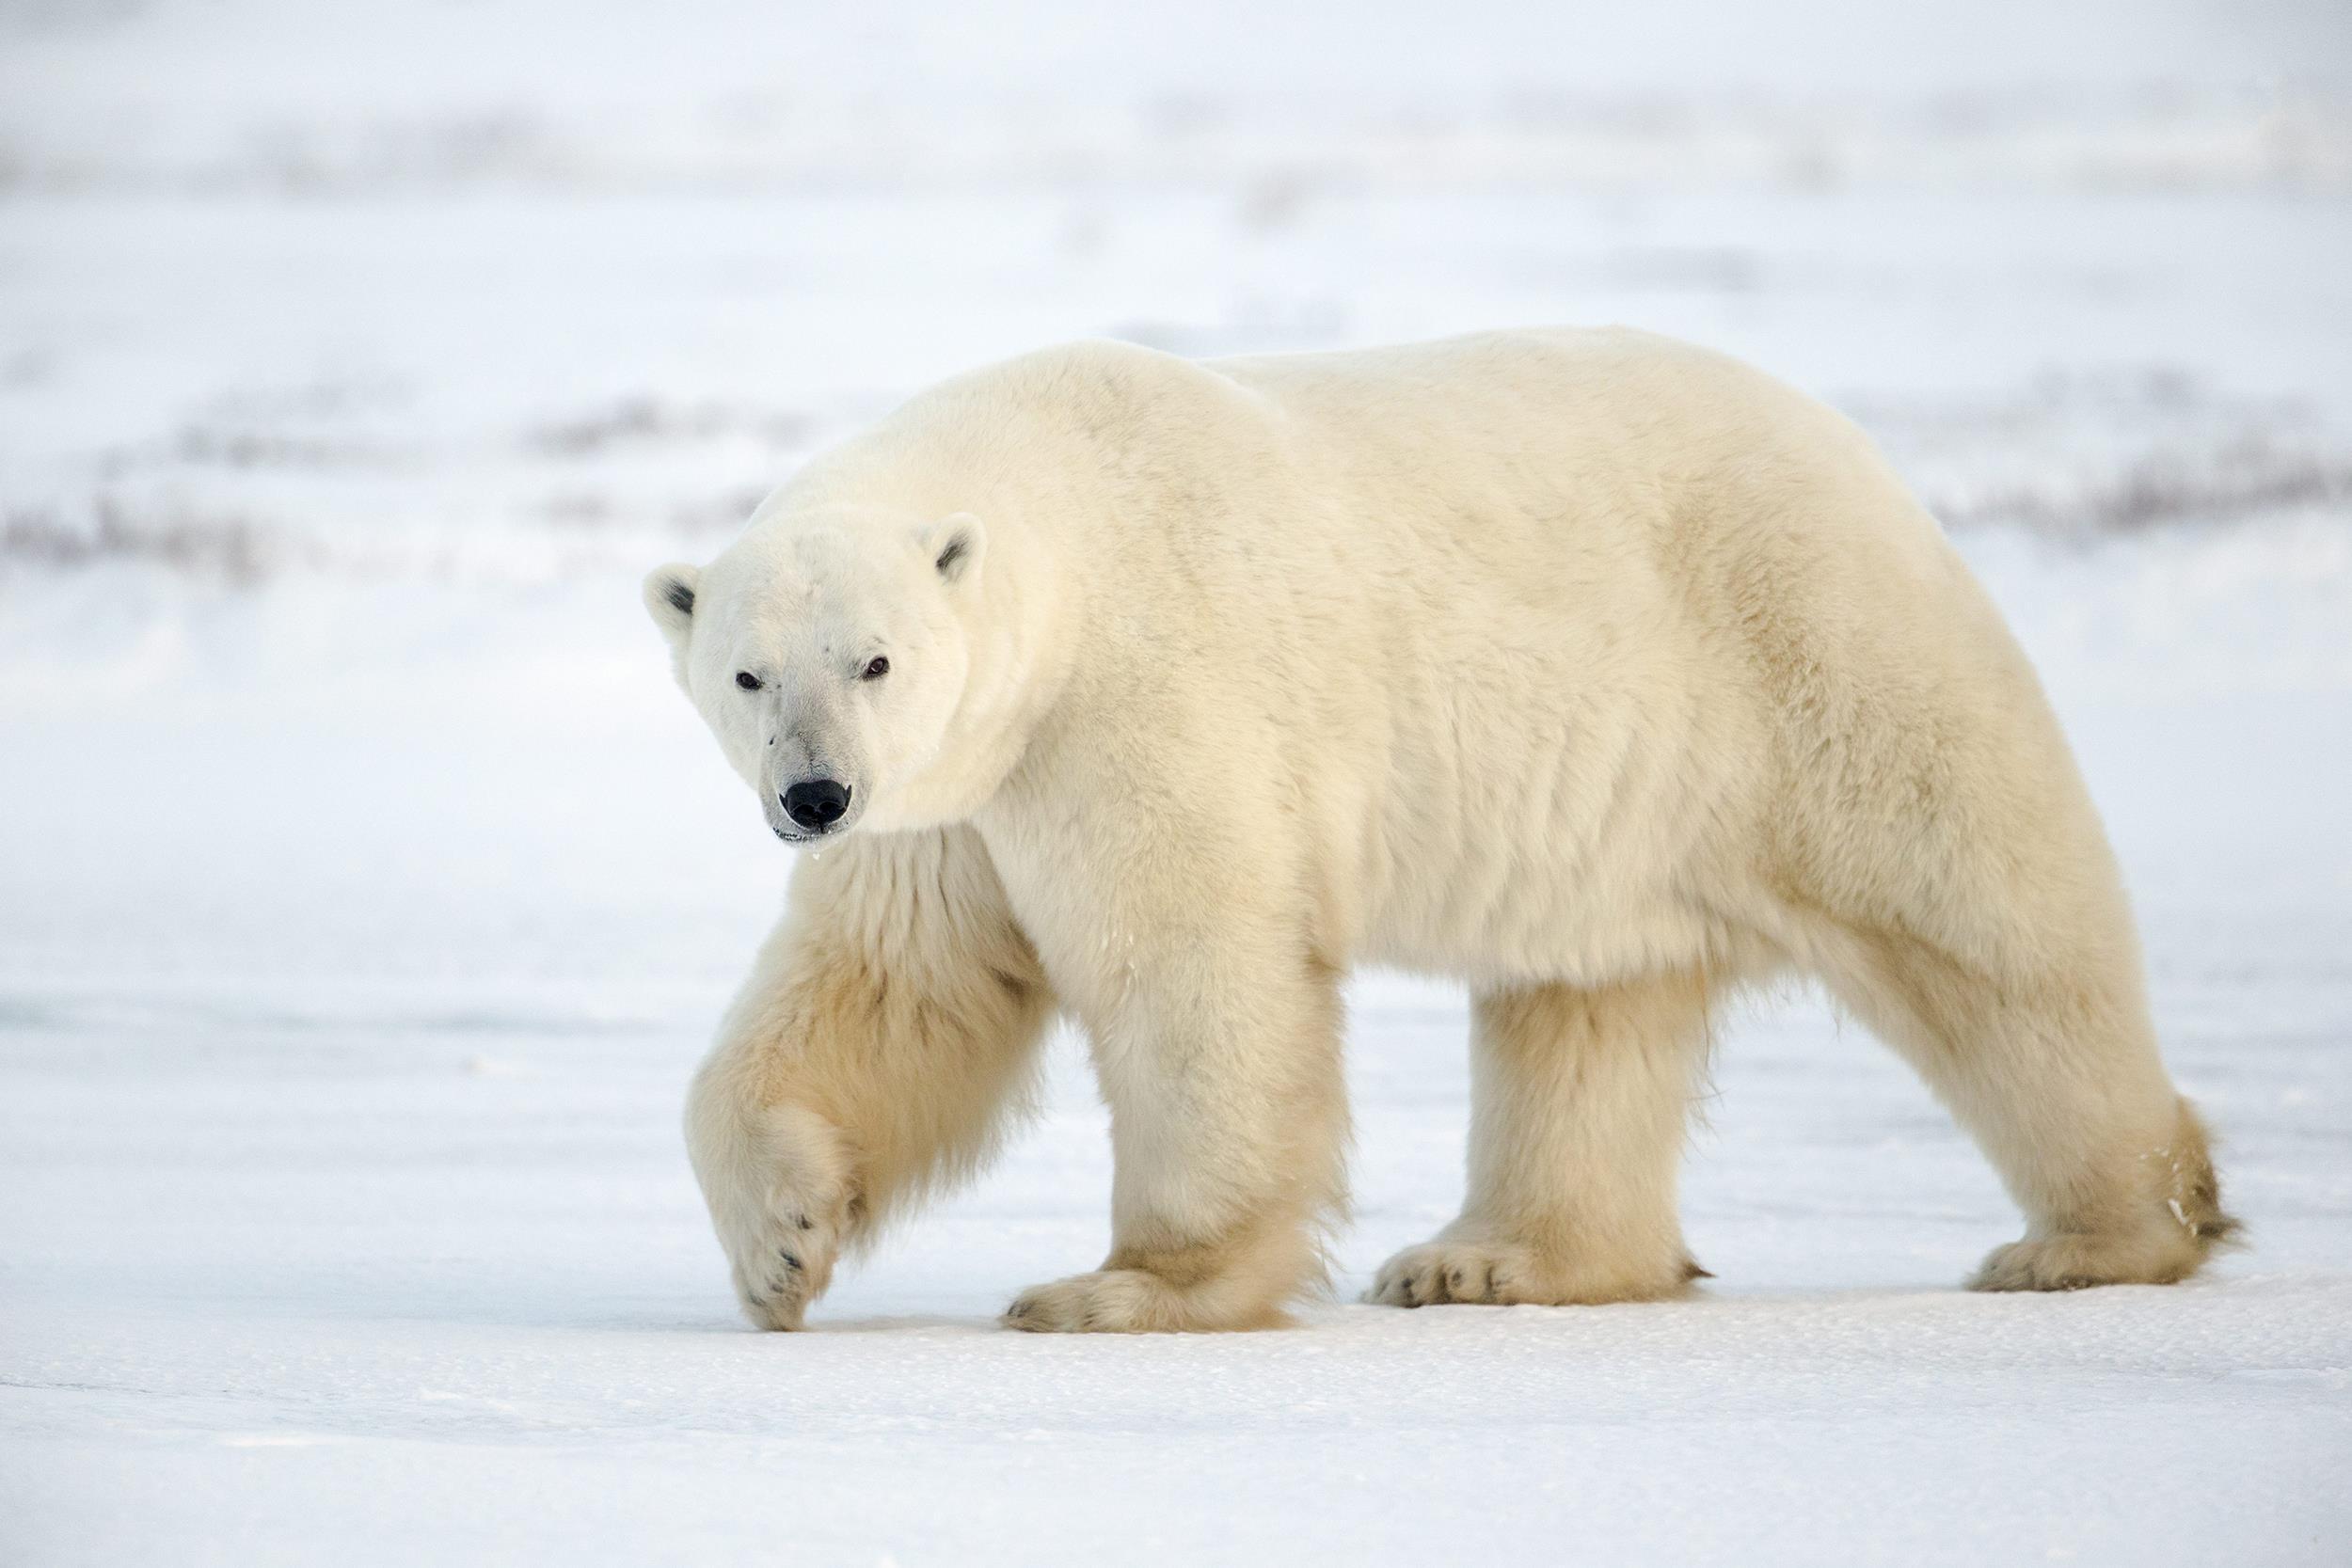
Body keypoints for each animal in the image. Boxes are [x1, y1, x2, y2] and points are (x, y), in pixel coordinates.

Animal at [642, 328, 2235, 1333]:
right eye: (749, 672)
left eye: (875, 659)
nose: (812, 795)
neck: (1067, 523)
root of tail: (1870, 462)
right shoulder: (961, 796)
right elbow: (895, 987)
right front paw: (780, 1247)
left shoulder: (1136, 701)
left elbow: (1192, 971)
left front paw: (1125, 1287)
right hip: (1629, 803)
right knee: (1586, 1005)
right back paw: (1494, 1260)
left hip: (1815, 657)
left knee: (1989, 929)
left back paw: (2102, 1230)